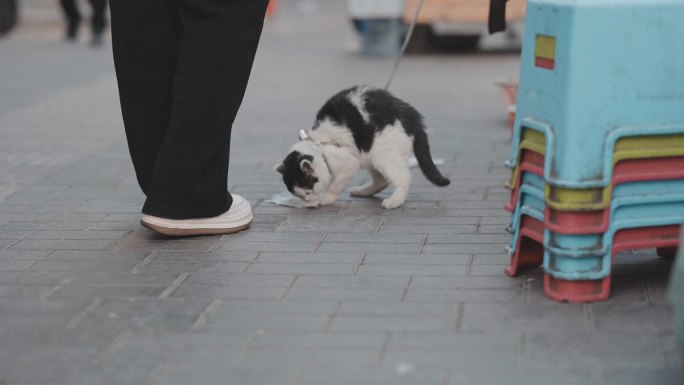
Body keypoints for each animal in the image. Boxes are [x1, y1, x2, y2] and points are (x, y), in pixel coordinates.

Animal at [274, 85, 448, 208]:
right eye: (301, 195)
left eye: (308, 191)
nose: (307, 200)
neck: (319, 145)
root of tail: (415, 118)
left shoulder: (348, 163)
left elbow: (335, 185)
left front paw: (326, 199)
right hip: (370, 154)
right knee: (381, 180)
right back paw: (362, 191)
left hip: (382, 153)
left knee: (403, 178)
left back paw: (394, 201)